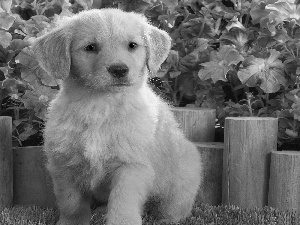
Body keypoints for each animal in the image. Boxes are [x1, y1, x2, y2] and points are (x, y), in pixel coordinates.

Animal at [31, 7, 203, 224]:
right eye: (90, 47)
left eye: (132, 45)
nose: (119, 69)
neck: (100, 104)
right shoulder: (64, 165)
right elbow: (71, 203)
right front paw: (72, 221)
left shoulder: (131, 166)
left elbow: (123, 203)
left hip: (181, 180)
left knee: (172, 209)